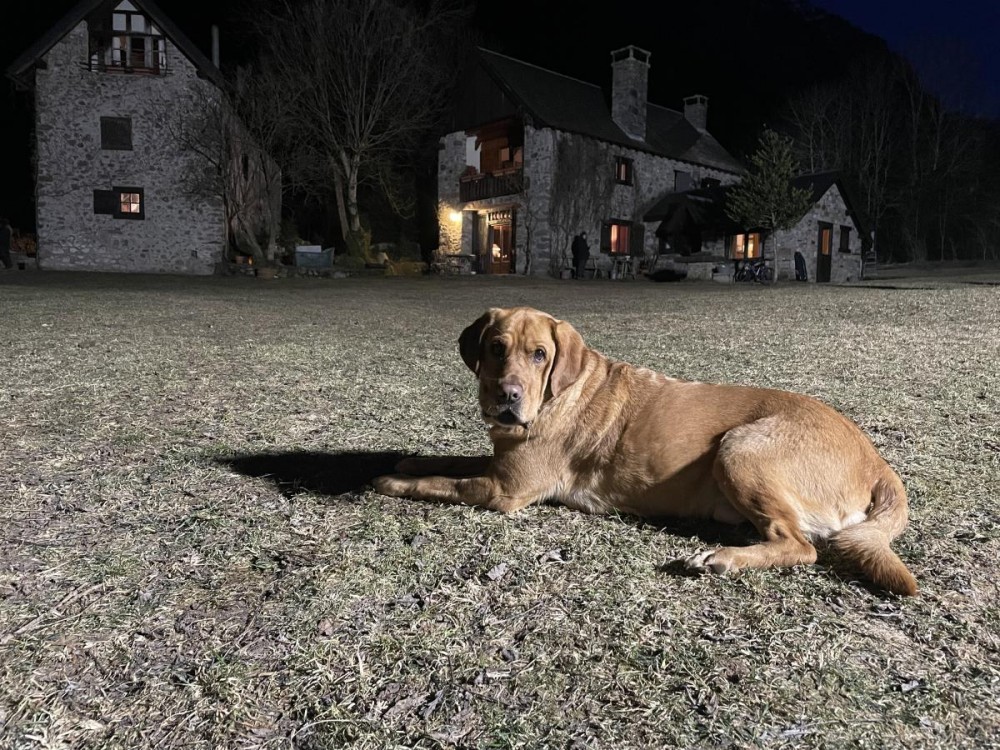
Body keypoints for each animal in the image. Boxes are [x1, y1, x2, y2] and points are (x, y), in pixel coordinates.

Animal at [373, 307, 917, 596]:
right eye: (494, 348)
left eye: (539, 355)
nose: (506, 396)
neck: (559, 392)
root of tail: (876, 460)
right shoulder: (499, 465)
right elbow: (447, 461)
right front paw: (409, 458)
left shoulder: (503, 490)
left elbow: (446, 483)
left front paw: (394, 480)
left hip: (739, 449)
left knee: (802, 546)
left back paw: (722, 559)